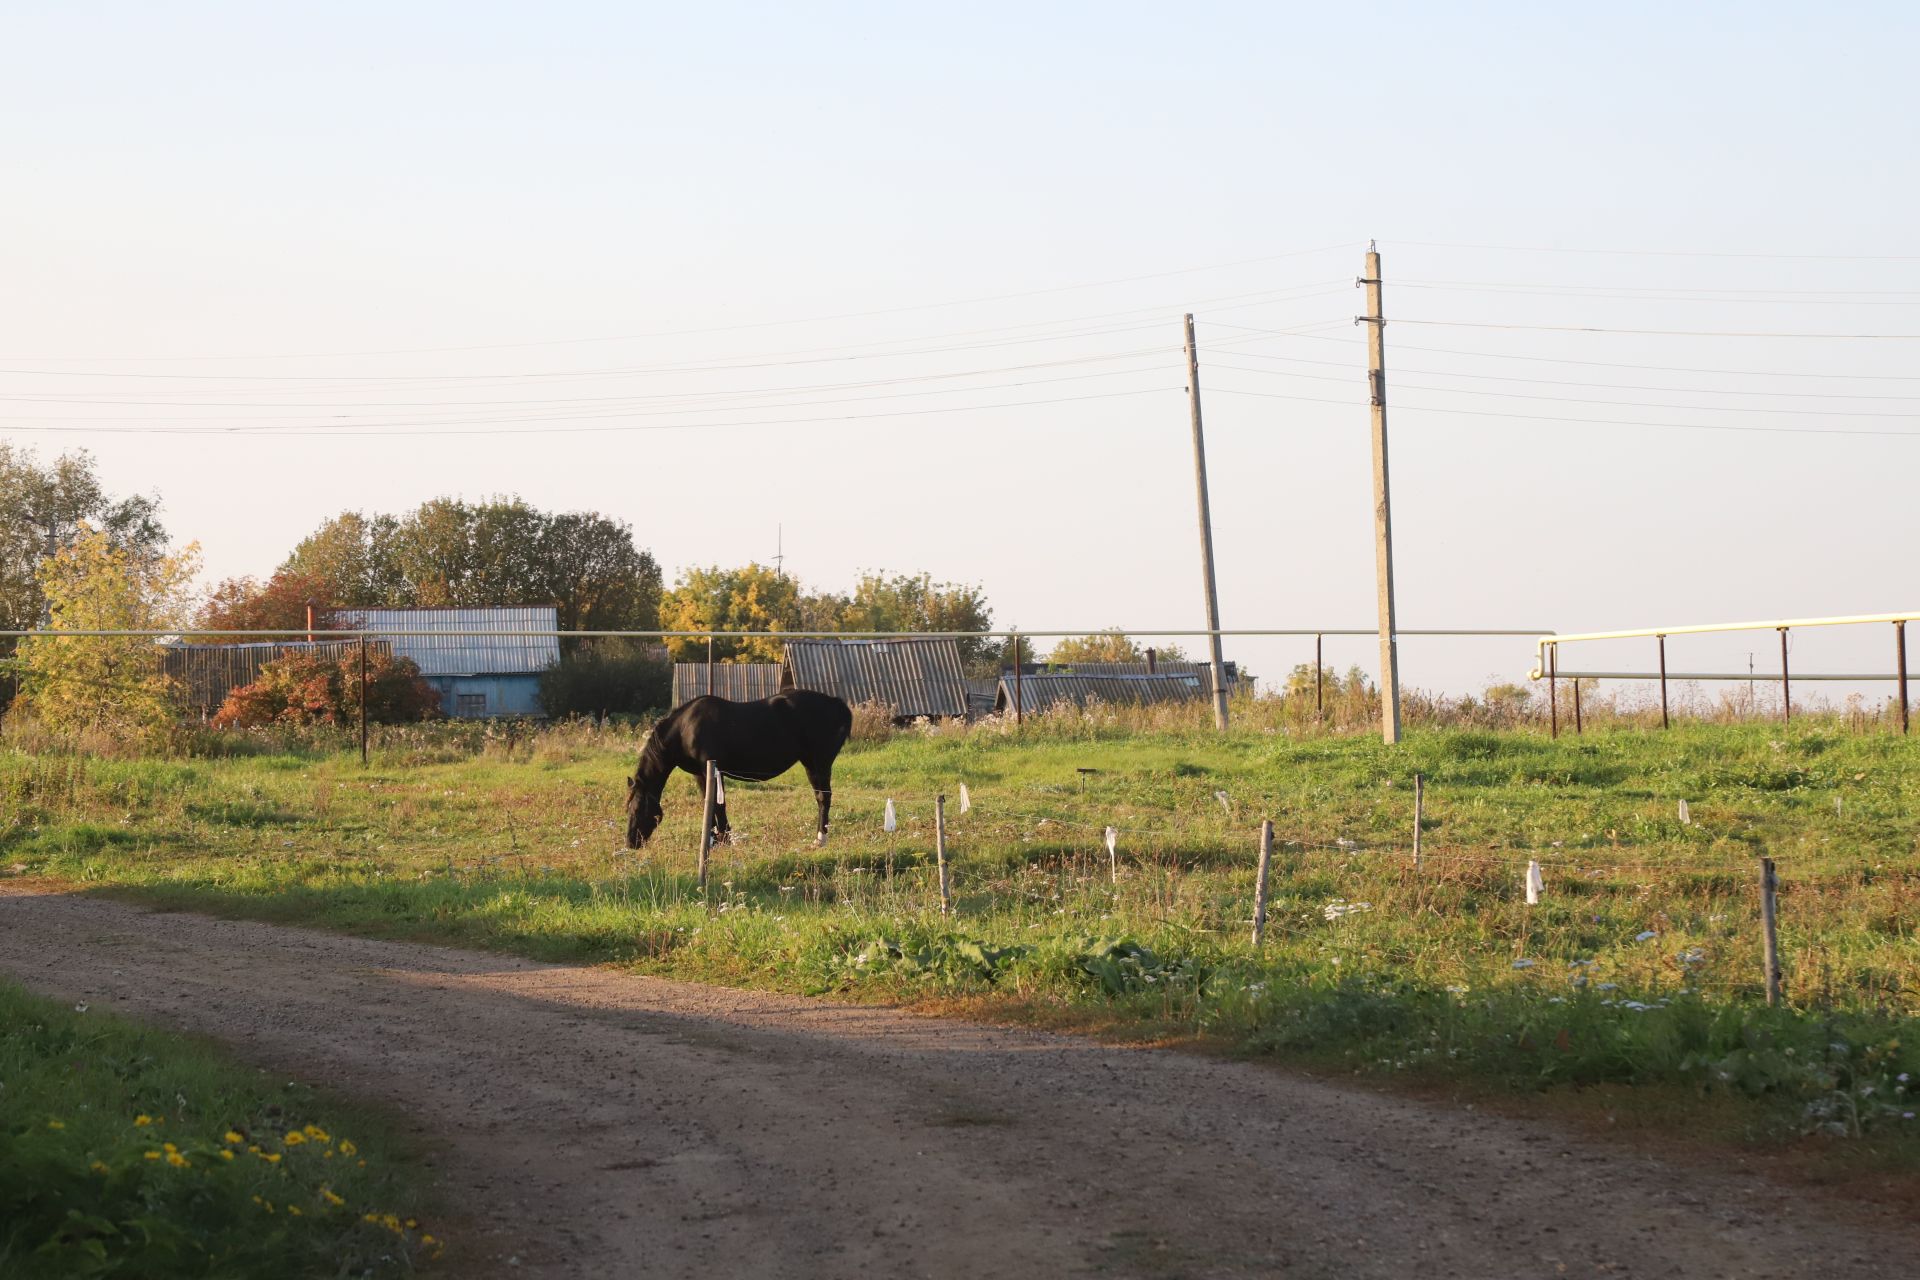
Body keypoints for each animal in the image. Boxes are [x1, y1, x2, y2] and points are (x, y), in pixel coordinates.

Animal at [625, 690, 852, 852]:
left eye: (637, 810)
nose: (630, 843)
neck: (685, 728)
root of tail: (836, 704)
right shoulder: (702, 774)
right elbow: (709, 804)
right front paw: (714, 840)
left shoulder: (712, 770)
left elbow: (719, 806)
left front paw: (723, 841)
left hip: (819, 764)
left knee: (823, 798)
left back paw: (820, 839)